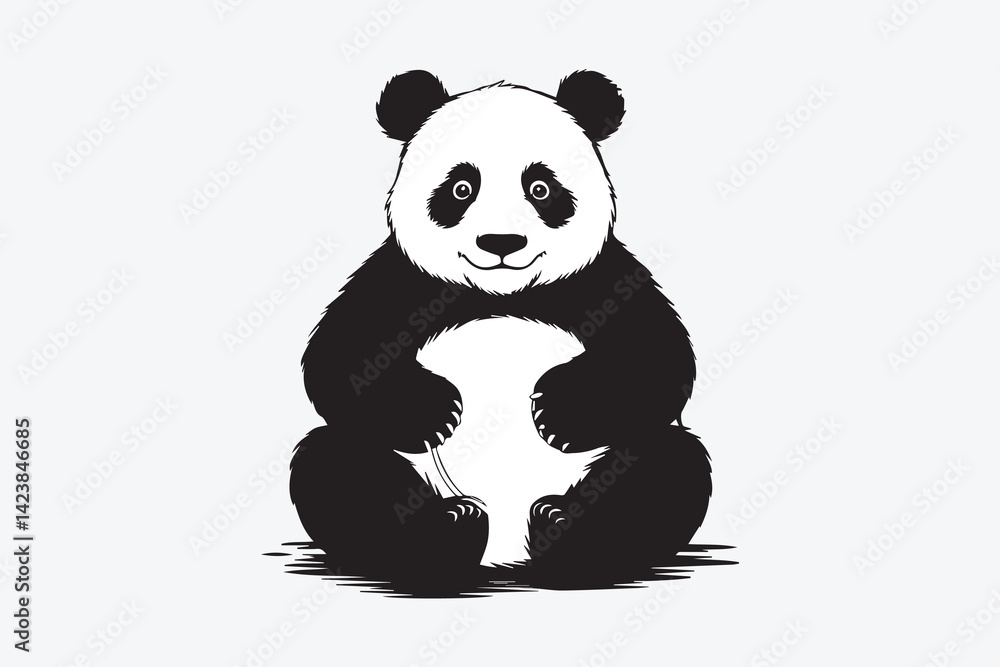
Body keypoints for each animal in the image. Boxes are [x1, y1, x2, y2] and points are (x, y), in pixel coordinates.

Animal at [290, 70, 711, 582]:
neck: (501, 294)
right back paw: (448, 532)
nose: (501, 242)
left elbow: (658, 363)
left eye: (541, 188)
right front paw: (435, 410)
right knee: (333, 462)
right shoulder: (399, 283)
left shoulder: (603, 279)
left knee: (669, 463)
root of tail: (506, 557)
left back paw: (562, 527)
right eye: (461, 188)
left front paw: (559, 409)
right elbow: (343, 364)